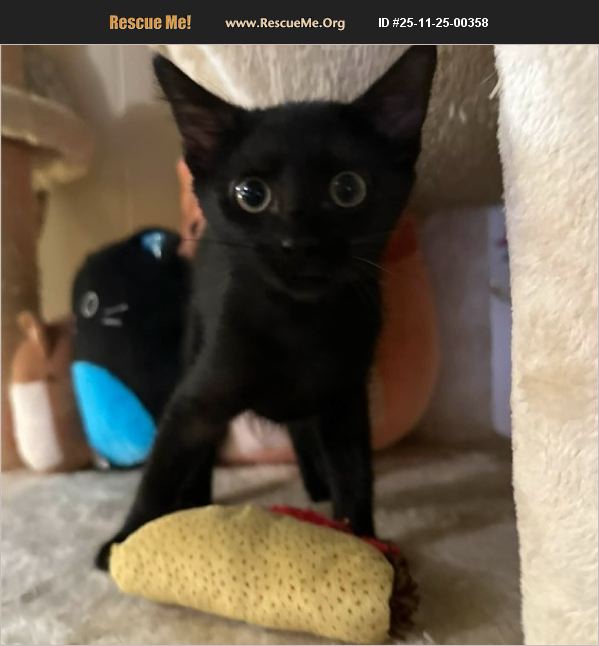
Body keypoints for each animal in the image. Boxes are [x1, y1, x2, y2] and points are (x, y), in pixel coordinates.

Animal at [96, 45, 437, 570]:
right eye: (250, 194)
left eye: (348, 189)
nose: (299, 243)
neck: (299, 323)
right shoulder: (199, 396)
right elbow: (160, 471)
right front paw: (125, 539)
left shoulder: (344, 399)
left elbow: (355, 474)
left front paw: (362, 543)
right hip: (196, 340)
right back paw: (197, 500)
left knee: (302, 431)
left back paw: (315, 484)